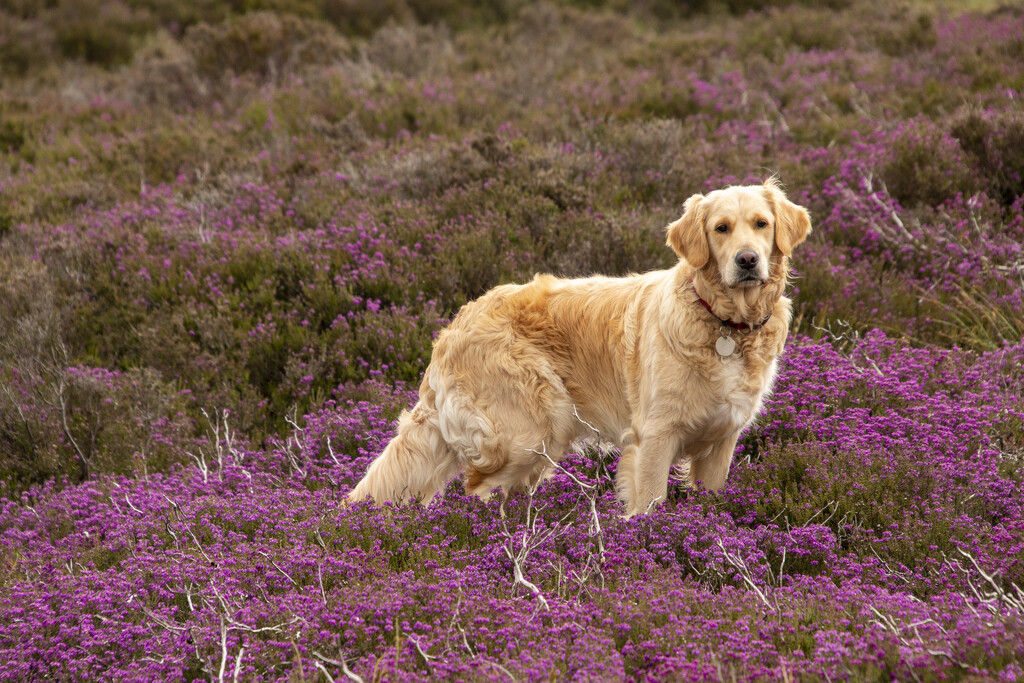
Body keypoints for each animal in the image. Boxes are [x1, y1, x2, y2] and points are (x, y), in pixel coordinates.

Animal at [348, 179, 811, 516]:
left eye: (762, 224)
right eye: (721, 228)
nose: (748, 260)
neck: (725, 323)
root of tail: (451, 329)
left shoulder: (721, 442)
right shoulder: (655, 436)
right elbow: (650, 504)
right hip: (532, 429)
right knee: (476, 488)